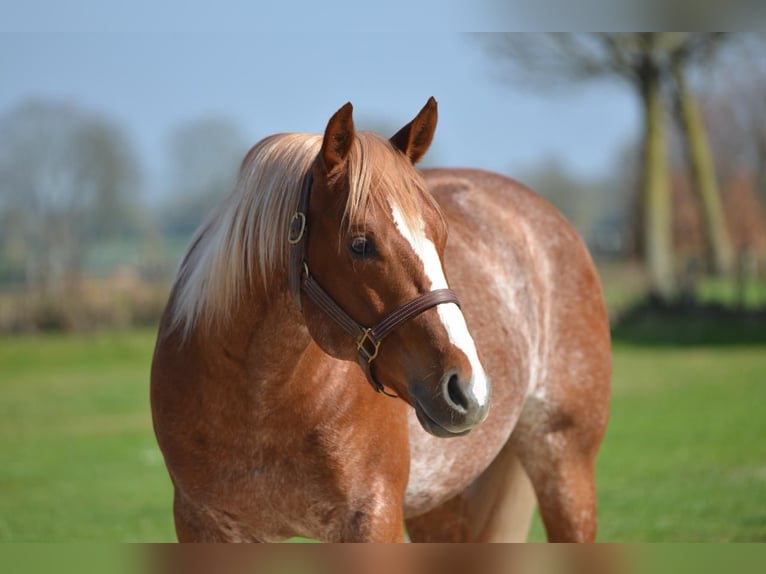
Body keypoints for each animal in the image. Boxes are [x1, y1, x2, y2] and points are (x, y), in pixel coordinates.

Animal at [150, 98, 611, 542]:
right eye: (360, 244)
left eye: (441, 235)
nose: (467, 388)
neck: (260, 401)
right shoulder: (202, 526)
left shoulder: (373, 517)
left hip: (566, 470)